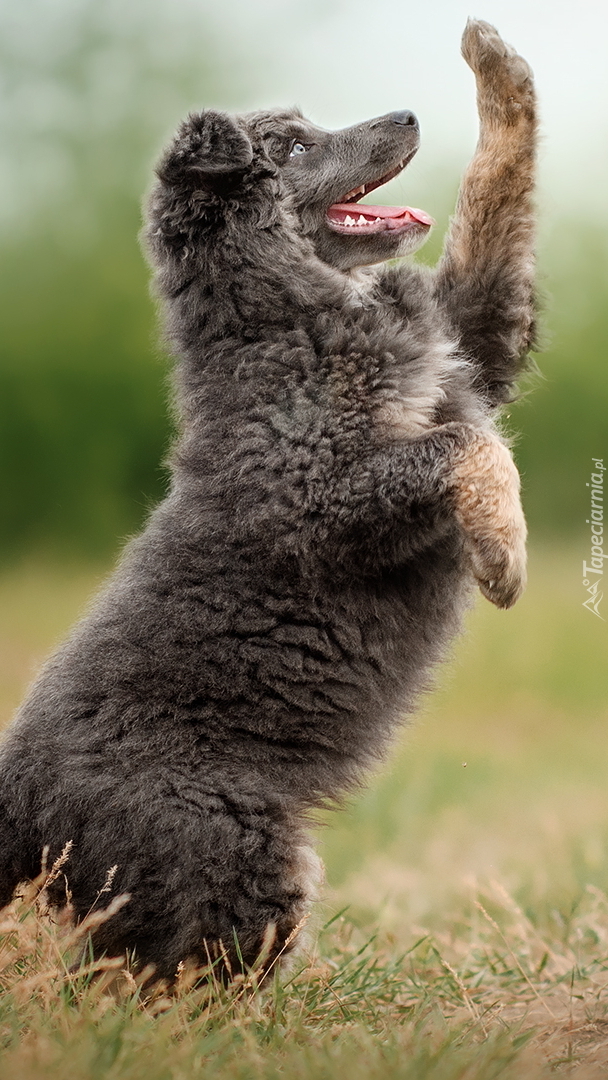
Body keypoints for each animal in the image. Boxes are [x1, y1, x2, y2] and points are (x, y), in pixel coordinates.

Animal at [0, 19, 537, 980]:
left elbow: (494, 207)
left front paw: (496, 62)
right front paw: (504, 554)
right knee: (177, 979)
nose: (406, 113)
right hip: (232, 853)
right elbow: (467, 448)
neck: (291, 320)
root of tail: (16, 807)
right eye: (289, 145)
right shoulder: (329, 499)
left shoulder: (471, 347)